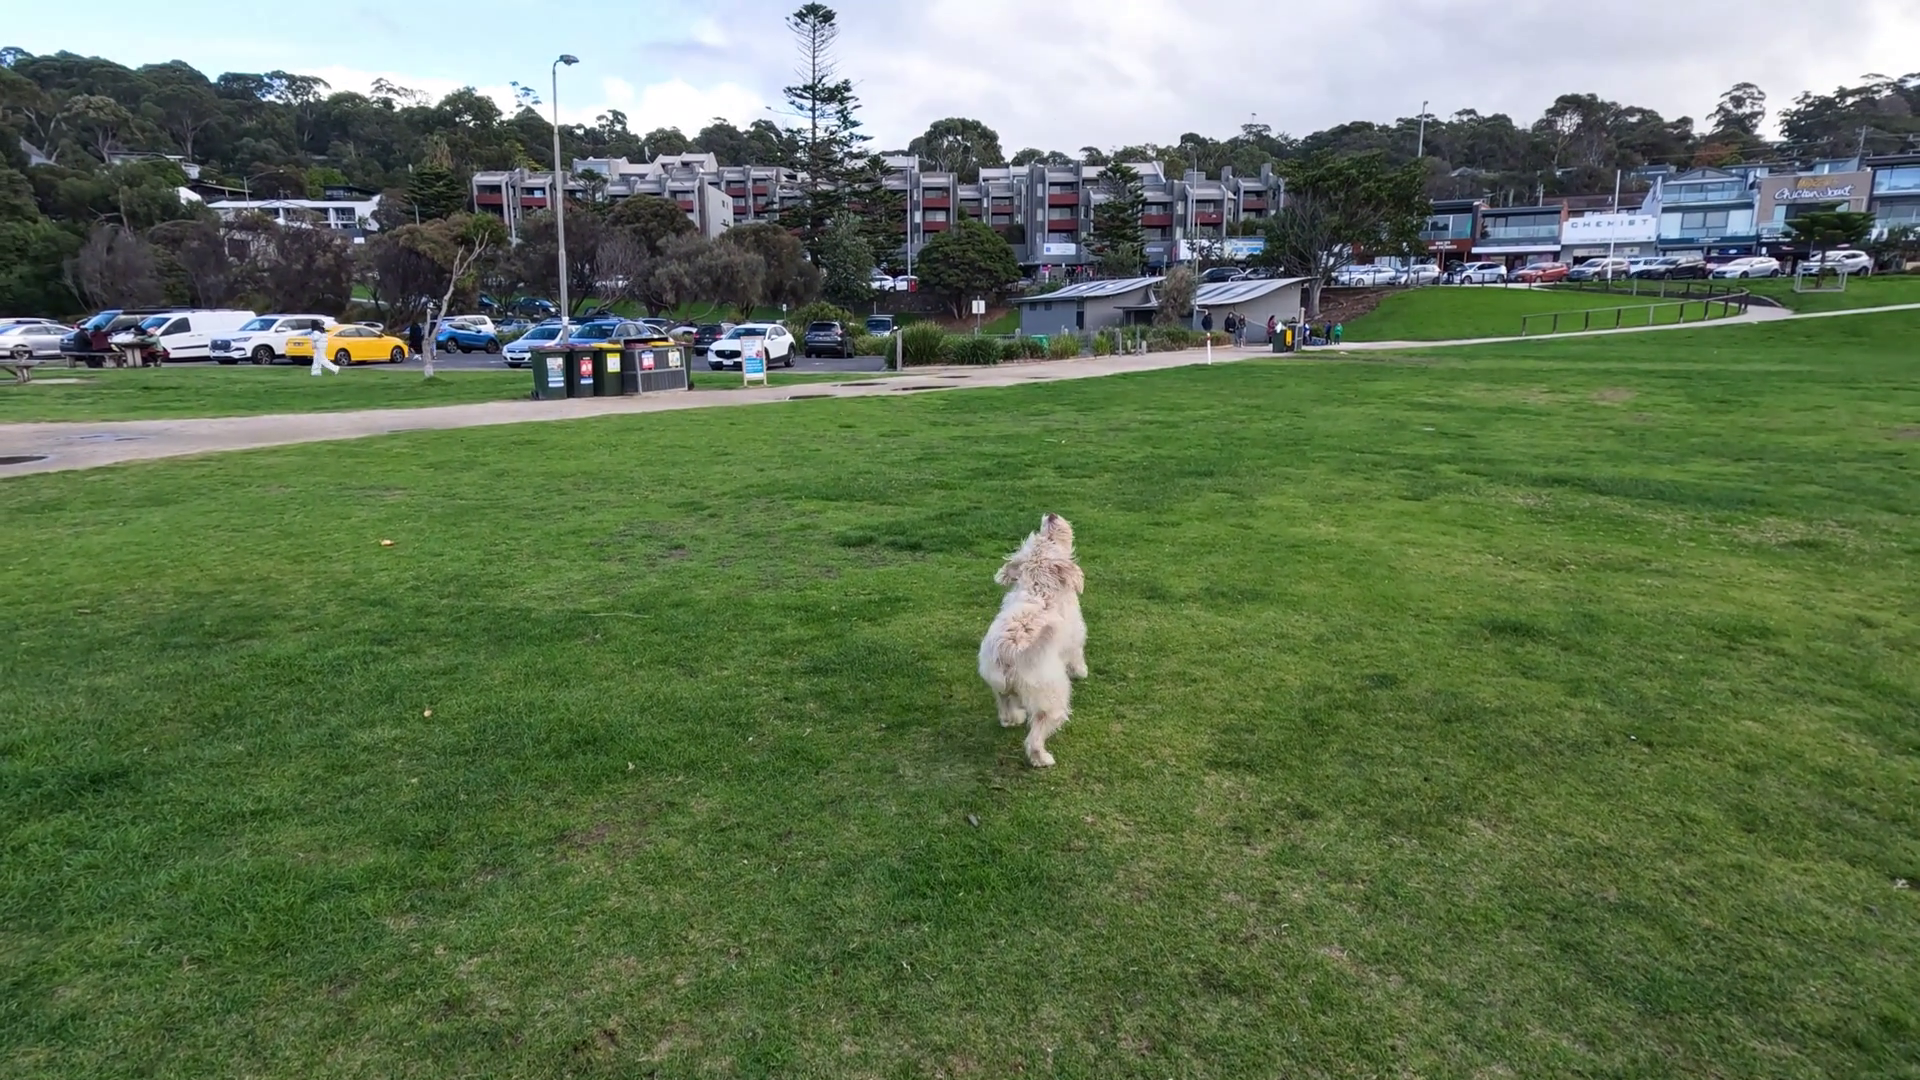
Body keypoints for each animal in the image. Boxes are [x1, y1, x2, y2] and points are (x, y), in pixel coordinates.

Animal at [978, 513, 1087, 768]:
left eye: (1040, 534)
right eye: (1048, 538)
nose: (1051, 515)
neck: (1040, 589)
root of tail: (1012, 650)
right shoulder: (1076, 638)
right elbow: (1077, 658)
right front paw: (1082, 672)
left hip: (999, 685)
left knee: (1005, 708)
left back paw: (1014, 718)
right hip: (1053, 699)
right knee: (1035, 736)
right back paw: (1043, 759)